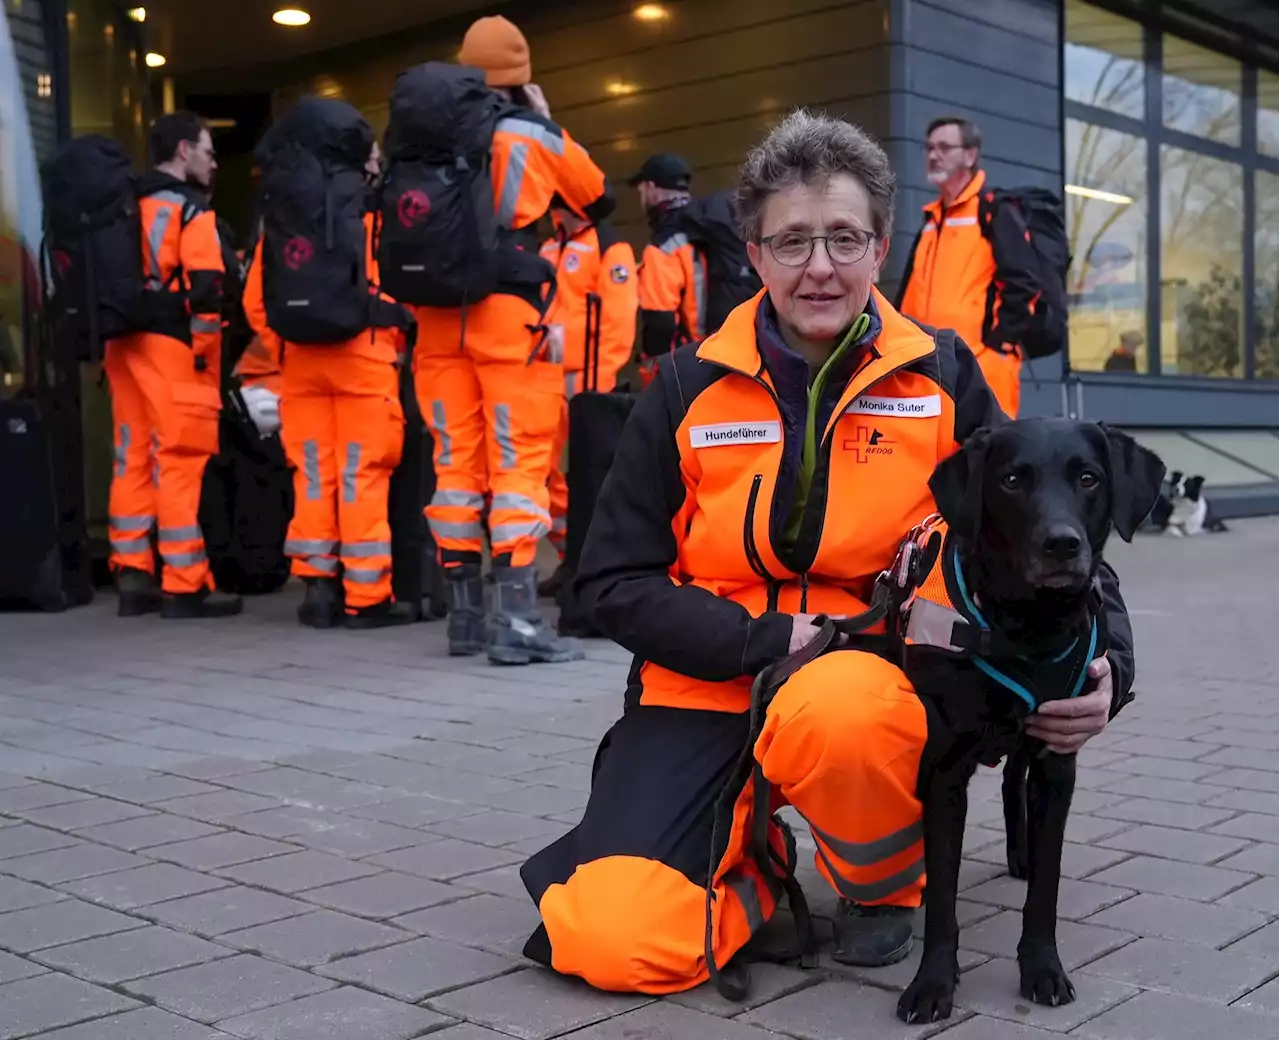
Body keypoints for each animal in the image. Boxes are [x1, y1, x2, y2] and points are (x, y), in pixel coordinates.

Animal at [896, 417, 1167, 1024]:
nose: (1062, 544)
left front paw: (1043, 968)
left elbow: (1046, 887)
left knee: (1010, 784)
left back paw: (1019, 856)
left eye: (1088, 478)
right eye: (1013, 480)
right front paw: (931, 983)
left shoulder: (1056, 762)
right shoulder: (943, 771)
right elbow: (943, 894)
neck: (1024, 628)